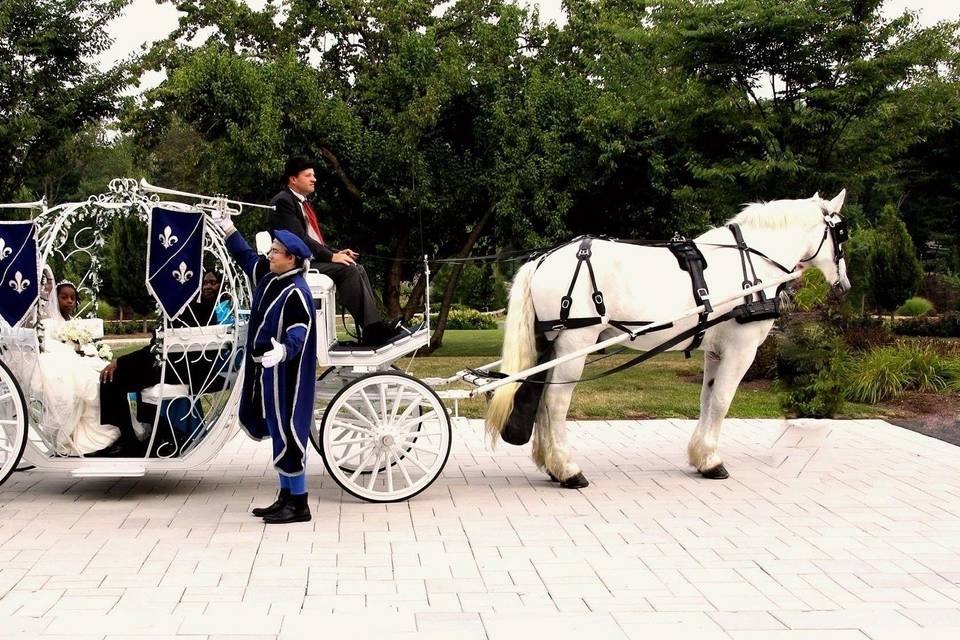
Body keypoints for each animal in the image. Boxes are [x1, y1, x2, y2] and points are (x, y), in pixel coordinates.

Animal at [484, 189, 852, 484]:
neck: (751, 262)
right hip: (576, 341)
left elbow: (707, 399)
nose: (845, 287)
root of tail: (543, 259)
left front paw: (701, 457)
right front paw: (713, 460)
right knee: (556, 401)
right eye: (841, 233)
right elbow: (722, 401)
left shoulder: (716, 350)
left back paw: (550, 464)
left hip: (555, 343)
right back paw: (567, 470)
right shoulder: (741, 347)